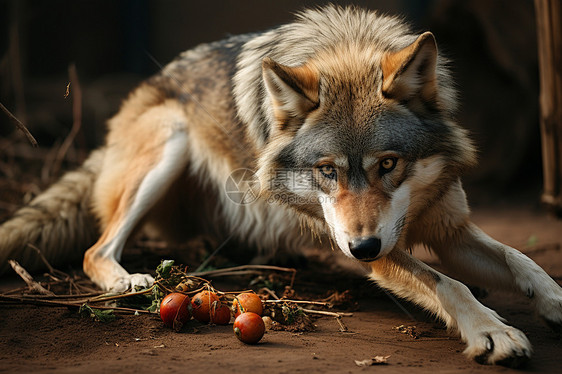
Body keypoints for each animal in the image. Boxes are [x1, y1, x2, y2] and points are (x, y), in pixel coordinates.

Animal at [1, 5, 560, 366]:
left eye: (388, 164)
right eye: (327, 171)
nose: (361, 248)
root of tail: (138, 95)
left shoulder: (449, 227)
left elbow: (520, 260)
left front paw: (553, 301)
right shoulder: (381, 253)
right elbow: (449, 284)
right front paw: (493, 332)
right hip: (170, 141)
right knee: (95, 250)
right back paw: (129, 281)